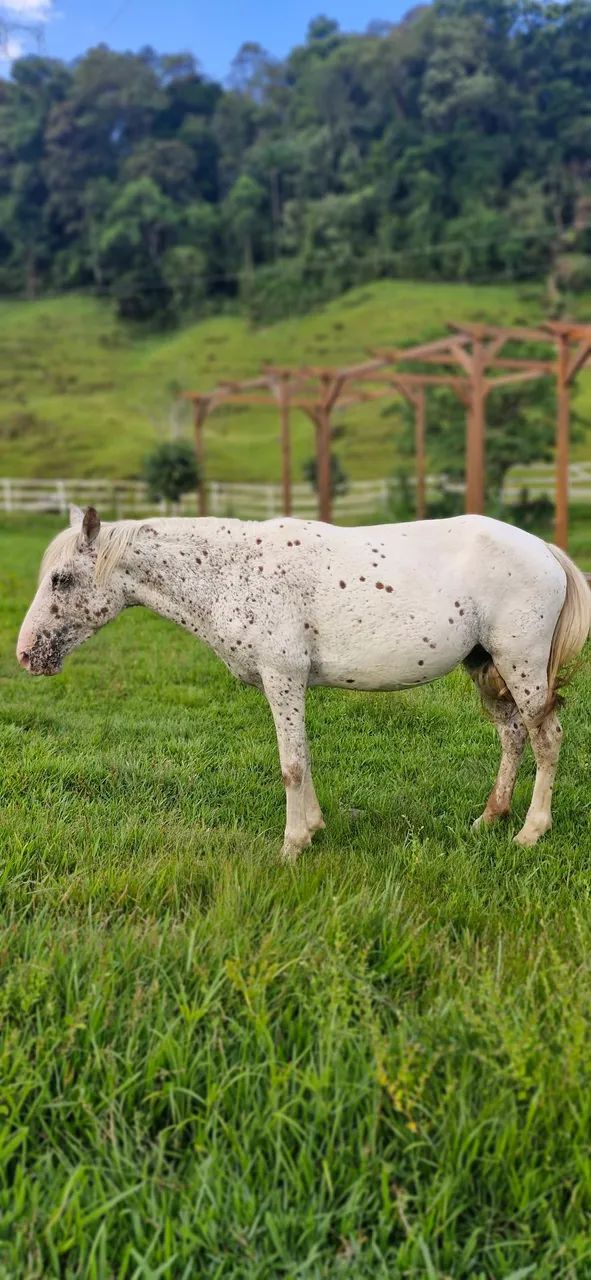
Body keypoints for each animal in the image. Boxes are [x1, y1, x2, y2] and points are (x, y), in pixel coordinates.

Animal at [17, 505, 591, 860]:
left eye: (61, 580)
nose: (26, 655)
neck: (231, 570)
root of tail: (544, 549)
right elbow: (304, 758)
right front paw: (313, 828)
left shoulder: (283, 677)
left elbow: (291, 764)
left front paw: (293, 844)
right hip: (486, 665)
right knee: (513, 736)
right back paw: (491, 818)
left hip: (520, 664)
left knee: (546, 738)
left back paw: (530, 832)